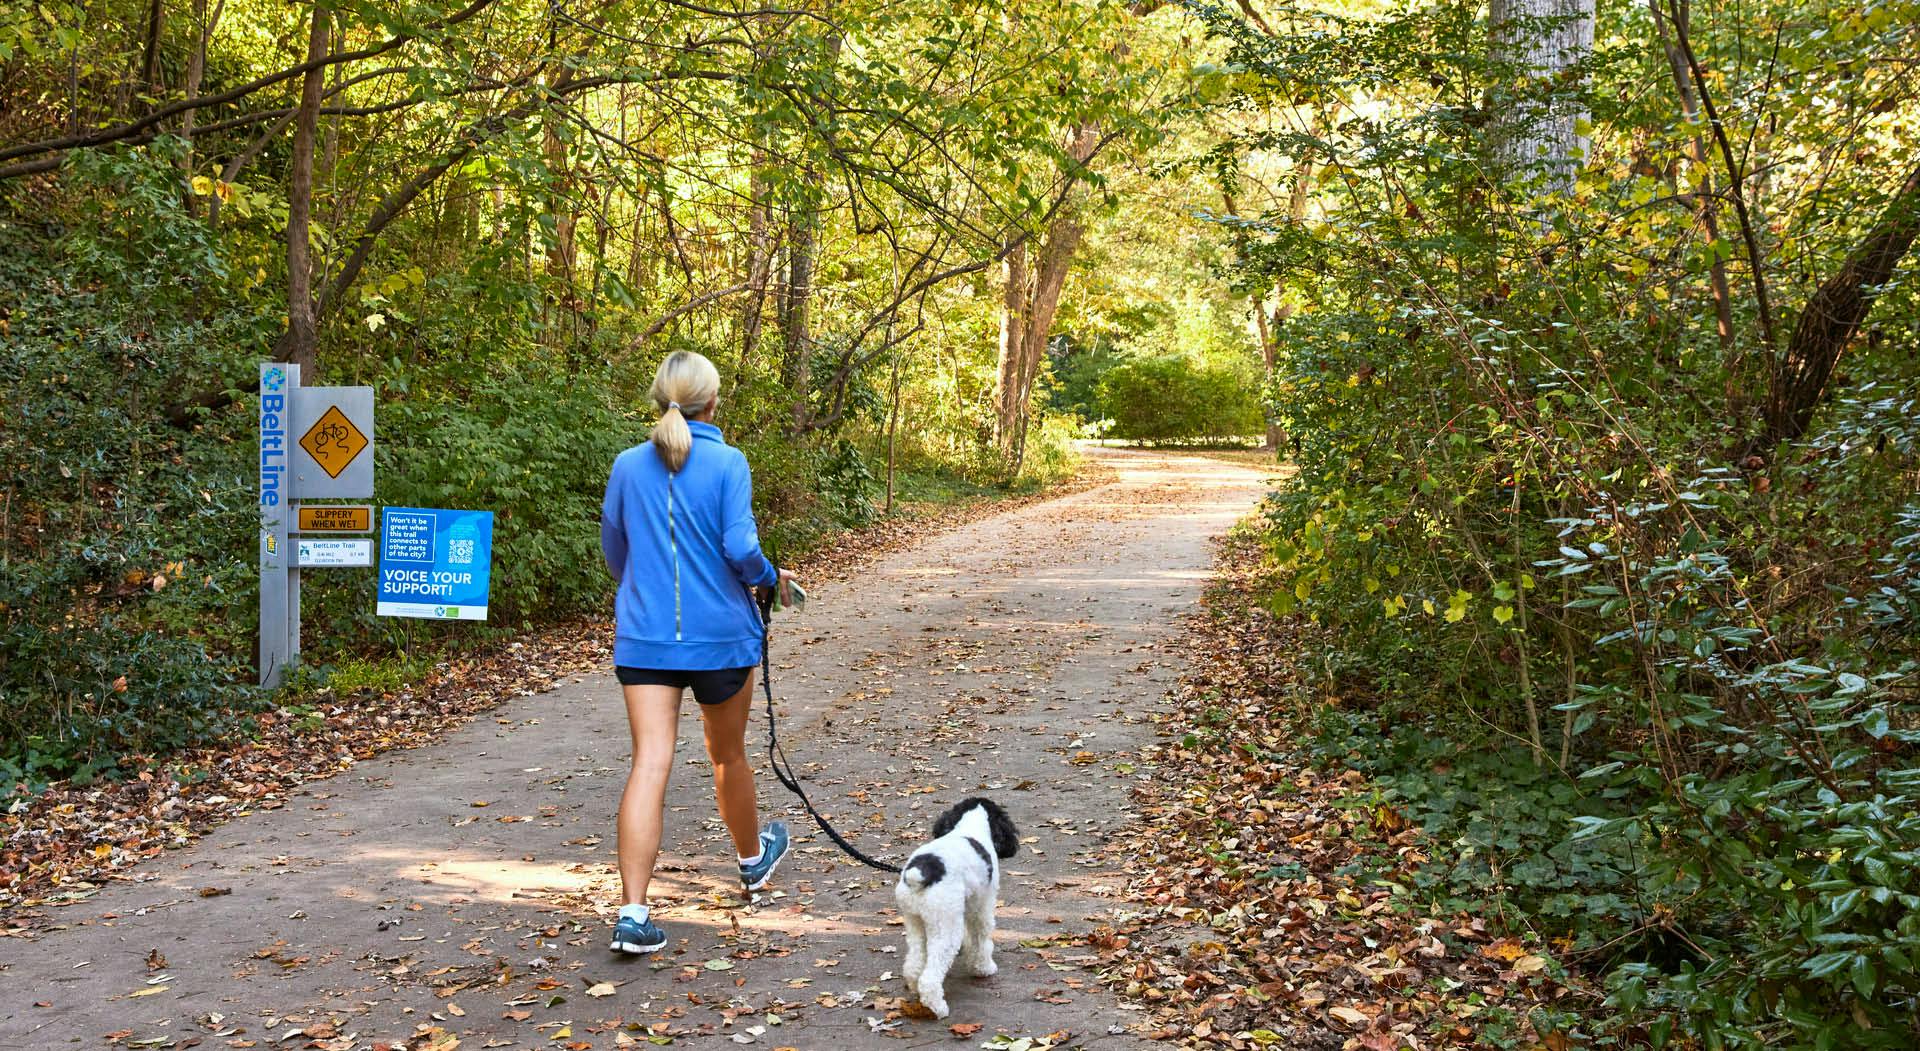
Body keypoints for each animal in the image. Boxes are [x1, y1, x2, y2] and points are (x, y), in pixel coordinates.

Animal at [894, 799, 1021, 1022]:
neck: (970, 827)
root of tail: (920, 873)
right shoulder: (983, 907)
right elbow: (981, 940)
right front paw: (983, 968)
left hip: (915, 921)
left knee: (914, 964)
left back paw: (915, 989)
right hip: (945, 928)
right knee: (930, 977)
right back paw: (938, 1008)